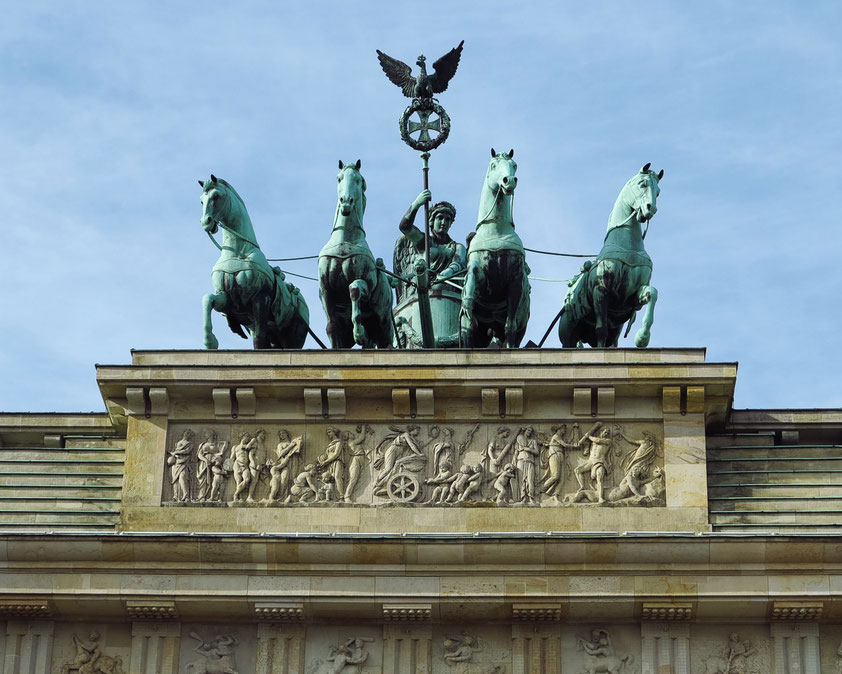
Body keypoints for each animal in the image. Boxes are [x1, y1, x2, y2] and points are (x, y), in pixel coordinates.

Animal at [198, 173, 308, 350]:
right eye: (202, 200)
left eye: (216, 196)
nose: (205, 222)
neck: (238, 252)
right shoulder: (226, 299)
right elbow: (207, 299)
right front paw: (210, 341)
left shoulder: (260, 300)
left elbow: (259, 341)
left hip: (293, 336)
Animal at [318, 158, 394, 346]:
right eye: (339, 178)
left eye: (359, 180)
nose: (346, 201)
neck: (345, 241)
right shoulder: (325, 289)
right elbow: (331, 326)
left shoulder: (367, 283)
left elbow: (354, 289)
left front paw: (359, 332)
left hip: (384, 329)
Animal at [462, 147, 528, 346]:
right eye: (493, 165)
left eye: (515, 165)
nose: (509, 181)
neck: (496, 230)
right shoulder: (478, 270)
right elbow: (472, 276)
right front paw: (467, 302)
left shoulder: (515, 280)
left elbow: (510, 327)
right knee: (468, 329)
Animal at [556, 163, 664, 346]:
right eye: (642, 184)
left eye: (658, 192)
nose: (651, 209)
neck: (627, 246)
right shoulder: (601, 290)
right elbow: (601, 330)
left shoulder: (633, 295)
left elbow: (653, 293)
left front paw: (642, 337)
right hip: (569, 334)